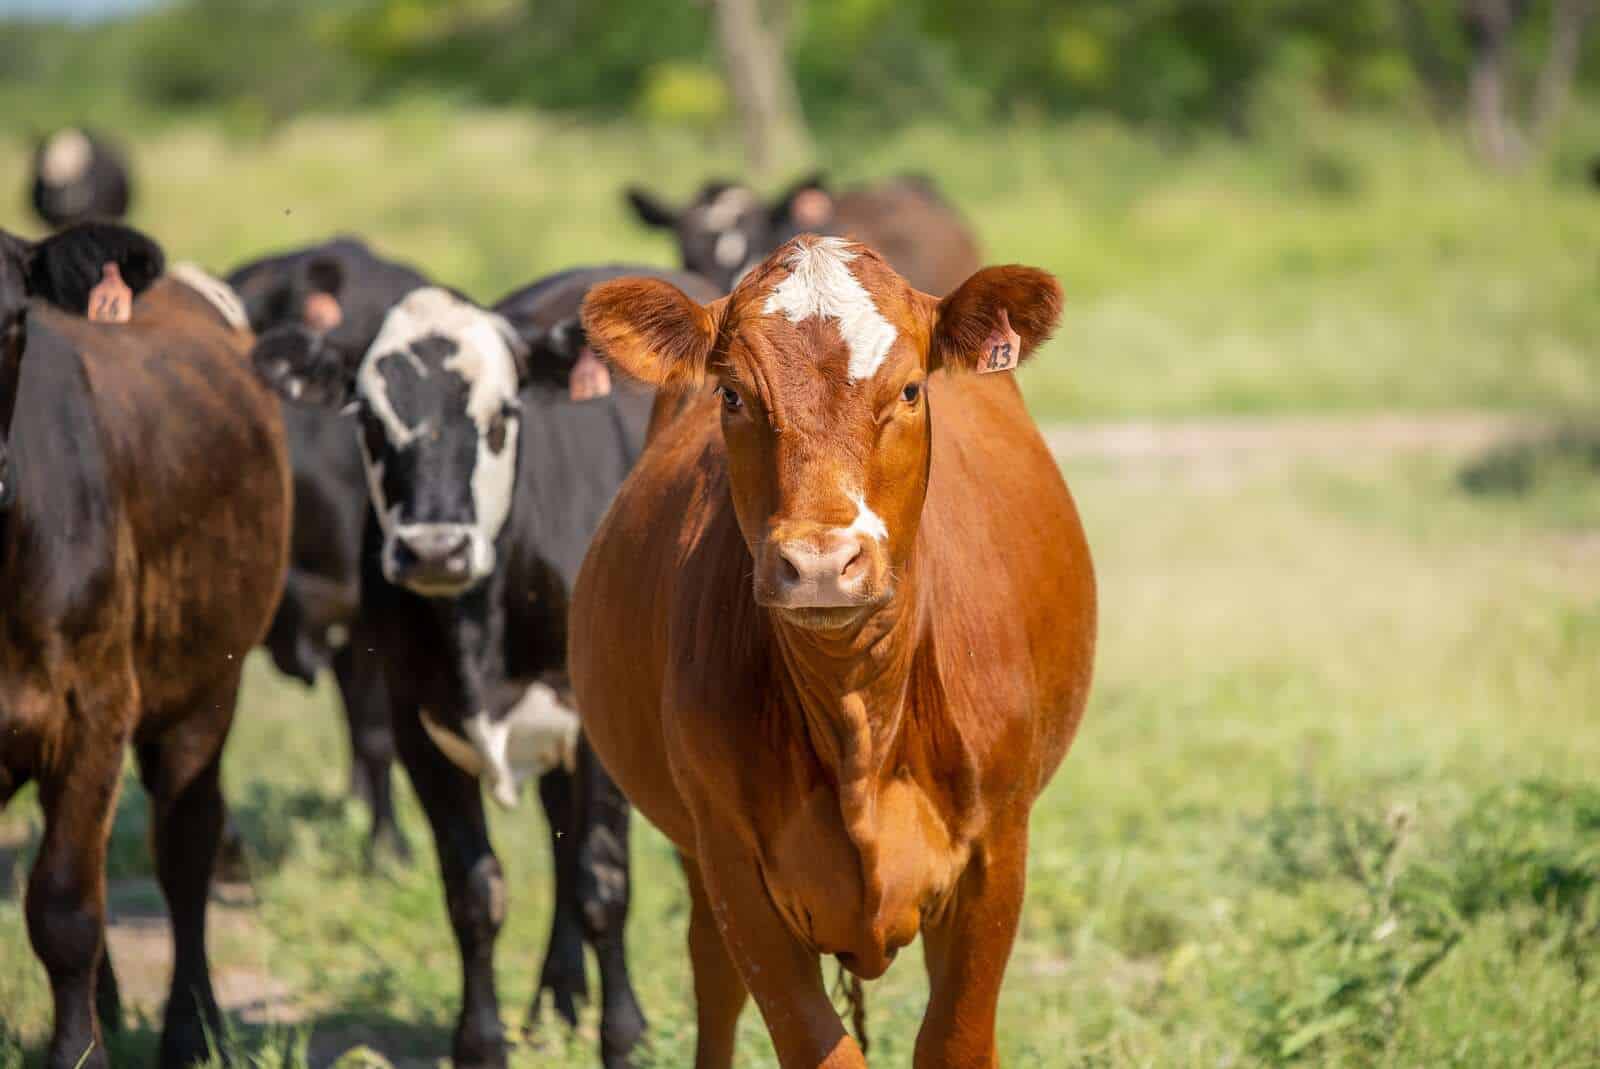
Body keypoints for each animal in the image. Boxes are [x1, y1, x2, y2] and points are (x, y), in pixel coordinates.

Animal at [0, 226, 291, 1069]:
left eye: (12, 318)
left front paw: (78, 1052)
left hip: (204, 690)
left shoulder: (94, 708)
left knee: (182, 850)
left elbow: (64, 908)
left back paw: (189, 1024)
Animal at [253, 263, 719, 1069]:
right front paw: (482, 1041)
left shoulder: (599, 729)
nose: (434, 548)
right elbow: (474, 891)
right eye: (369, 422)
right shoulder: (418, 725)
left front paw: (625, 1037)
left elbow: (604, 885)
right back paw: (556, 996)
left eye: (502, 416)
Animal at [573, 236, 1097, 1069]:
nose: (821, 561)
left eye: (911, 388)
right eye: (731, 395)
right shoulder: (735, 868)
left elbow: (955, 1039)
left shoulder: (997, 855)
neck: (860, 714)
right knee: (713, 978)